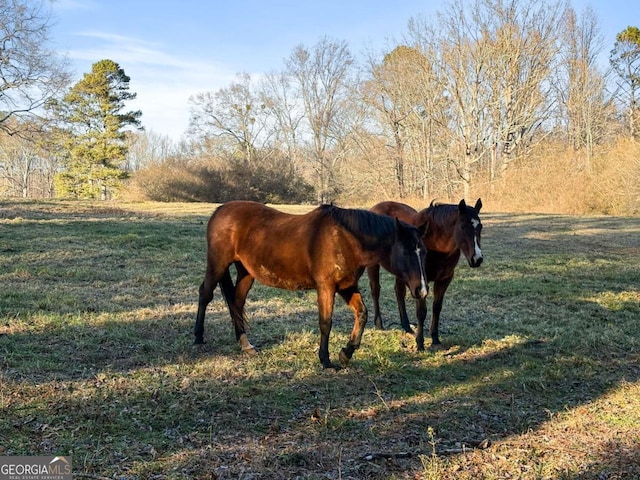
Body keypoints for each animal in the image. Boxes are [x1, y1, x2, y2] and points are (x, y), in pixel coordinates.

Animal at [192, 201, 428, 370]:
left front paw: (346, 352)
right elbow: (325, 322)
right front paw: (326, 360)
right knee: (205, 294)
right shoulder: (326, 287)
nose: (422, 290)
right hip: (217, 264)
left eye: (423, 252)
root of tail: (220, 210)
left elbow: (362, 314)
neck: (345, 238)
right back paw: (198, 337)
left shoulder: (347, 286)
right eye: (405, 251)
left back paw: (245, 344)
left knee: (237, 302)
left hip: (246, 272)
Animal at [368, 197, 482, 350]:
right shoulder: (421, 280)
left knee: (399, 292)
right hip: (373, 265)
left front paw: (435, 339)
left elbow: (437, 308)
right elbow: (421, 312)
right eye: (463, 227)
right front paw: (420, 343)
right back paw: (379, 324)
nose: (477, 259)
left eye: (480, 227)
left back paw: (407, 327)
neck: (435, 244)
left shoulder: (444, 279)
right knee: (376, 290)